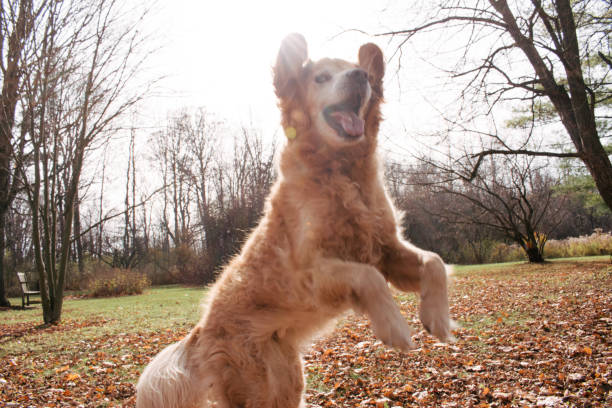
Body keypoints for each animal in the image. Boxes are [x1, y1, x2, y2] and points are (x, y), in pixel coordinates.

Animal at [139, 34, 454, 408]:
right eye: (321, 77)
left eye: (357, 69)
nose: (361, 75)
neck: (340, 171)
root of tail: (199, 331)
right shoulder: (311, 274)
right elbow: (369, 278)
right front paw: (395, 328)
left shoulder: (387, 249)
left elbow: (434, 261)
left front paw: (438, 318)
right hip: (256, 383)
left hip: (287, 378)